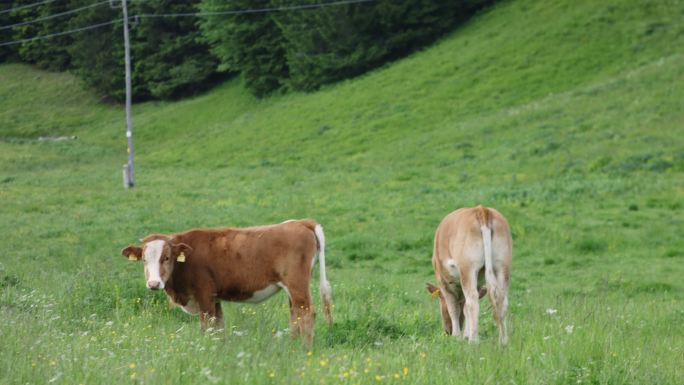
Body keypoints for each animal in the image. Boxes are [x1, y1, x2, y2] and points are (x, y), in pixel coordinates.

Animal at [121, 218, 334, 346]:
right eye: (144, 259)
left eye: (166, 257)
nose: (154, 284)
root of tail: (301, 222)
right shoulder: (215, 299)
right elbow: (219, 327)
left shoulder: (204, 296)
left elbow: (207, 327)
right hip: (292, 289)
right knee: (295, 314)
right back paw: (292, 345)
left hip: (297, 285)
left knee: (307, 313)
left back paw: (304, 349)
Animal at [428, 206, 512, 344]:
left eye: (441, 304)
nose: (447, 332)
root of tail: (482, 209)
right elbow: (464, 310)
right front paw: (465, 335)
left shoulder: (444, 282)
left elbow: (454, 309)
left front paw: (457, 336)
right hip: (503, 266)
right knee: (502, 301)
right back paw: (503, 341)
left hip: (468, 269)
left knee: (472, 301)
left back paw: (474, 340)